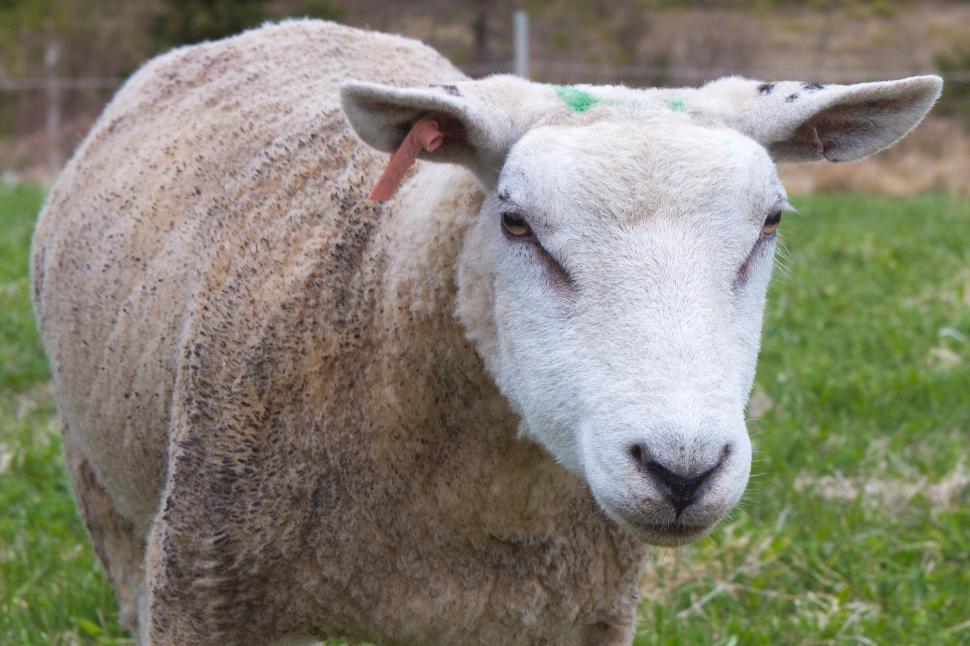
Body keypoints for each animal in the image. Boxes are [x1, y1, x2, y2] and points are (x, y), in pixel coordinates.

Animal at [30, 19, 940, 646]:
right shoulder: (202, 587)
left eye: (771, 222)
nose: (682, 470)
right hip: (103, 493)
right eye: (515, 222)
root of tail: (282, 26)